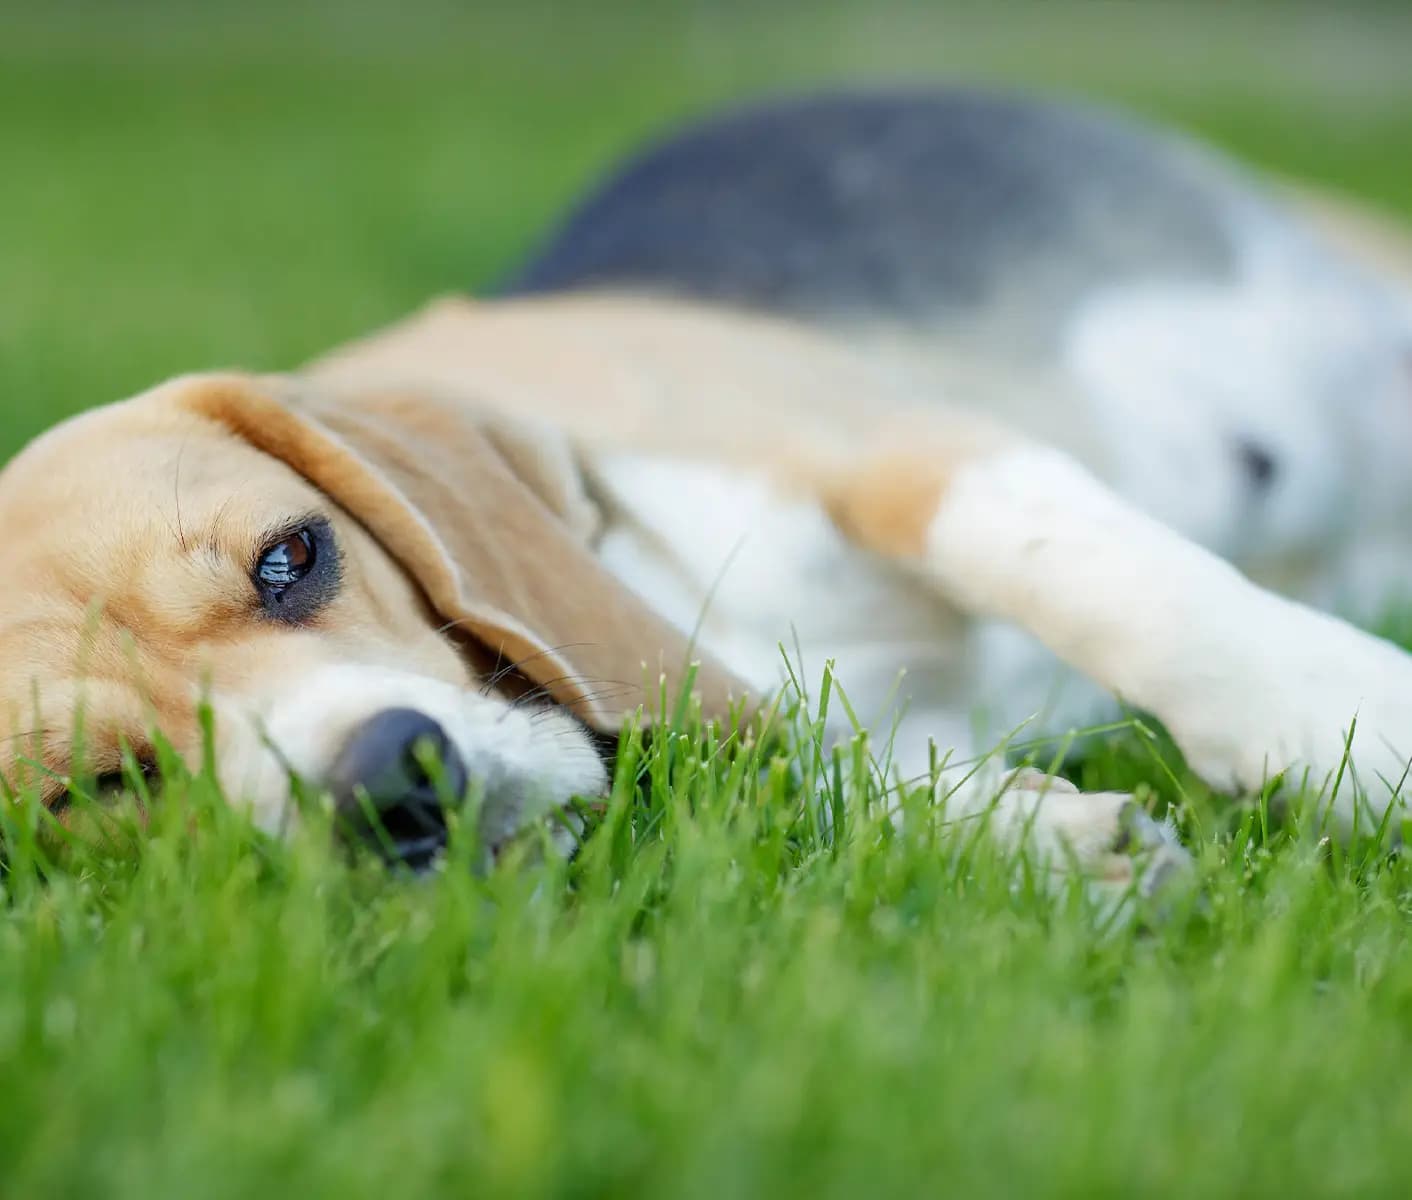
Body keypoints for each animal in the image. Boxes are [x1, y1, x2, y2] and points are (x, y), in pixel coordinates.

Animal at [2, 88, 1412, 880]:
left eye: (293, 557)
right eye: (98, 790)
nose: (387, 787)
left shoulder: (884, 442)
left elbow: (1099, 576)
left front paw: (1350, 718)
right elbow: (827, 781)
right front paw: (1041, 846)